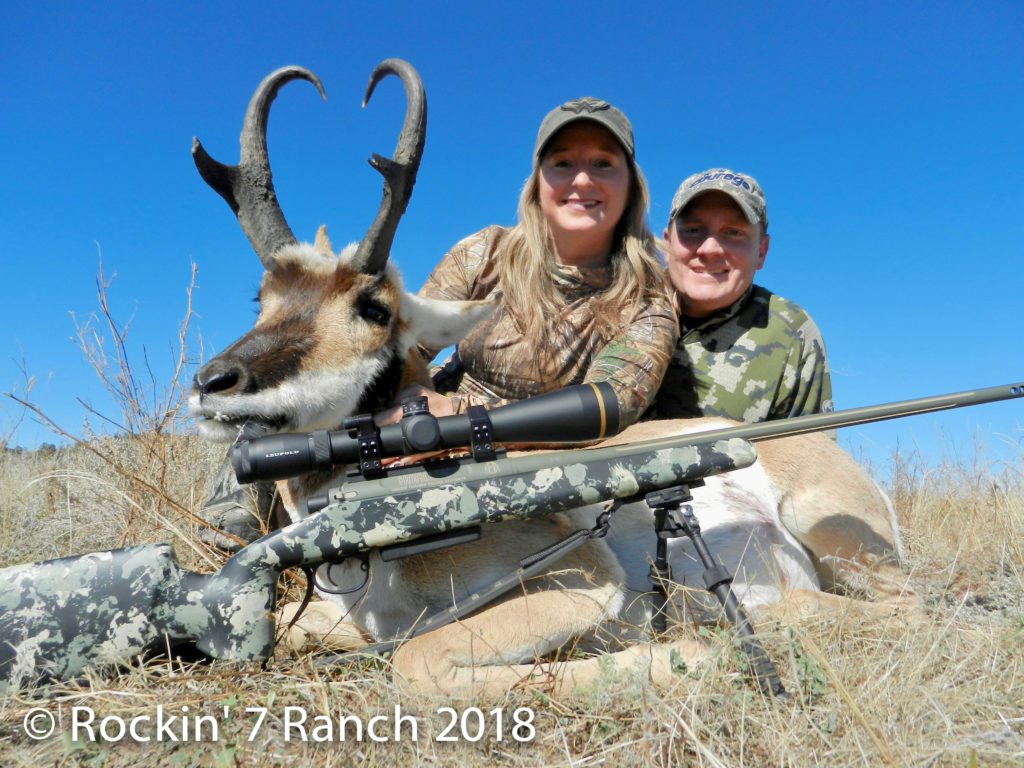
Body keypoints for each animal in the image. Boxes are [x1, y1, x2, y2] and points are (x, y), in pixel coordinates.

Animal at [188, 61, 917, 696]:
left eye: (374, 308)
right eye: (262, 298)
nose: (213, 383)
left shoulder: (580, 579)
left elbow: (415, 659)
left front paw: (687, 655)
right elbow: (287, 628)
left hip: (839, 537)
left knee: (902, 608)